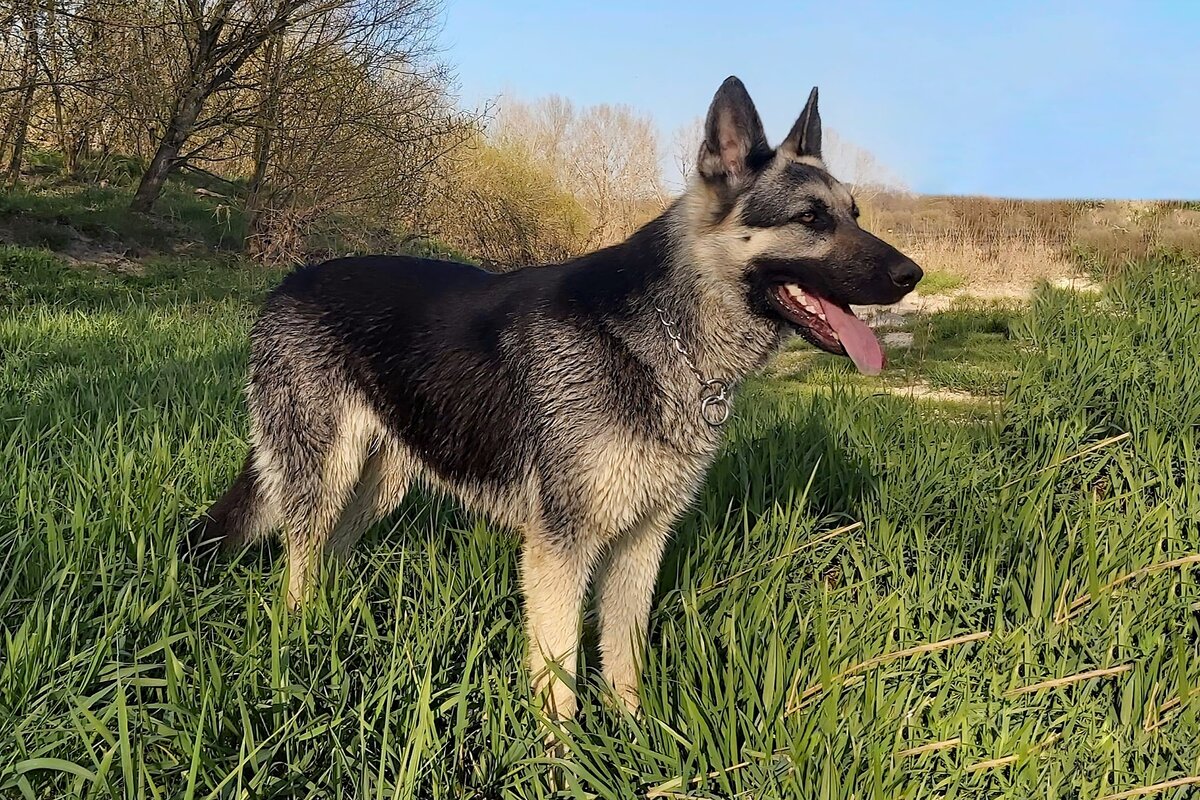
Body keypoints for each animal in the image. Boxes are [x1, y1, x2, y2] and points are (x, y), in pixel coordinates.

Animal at [187, 76, 921, 724]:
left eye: (855, 215)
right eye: (810, 219)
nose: (912, 275)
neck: (664, 334)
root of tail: (287, 283)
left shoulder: (640, 545)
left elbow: (624, 662)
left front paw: (637, 744)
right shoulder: (558, 553)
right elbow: (560, 677)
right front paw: (564, 763)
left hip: (377, 483)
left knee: (330, 558)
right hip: (324, 477)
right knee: (298, 570)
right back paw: (301, 645)